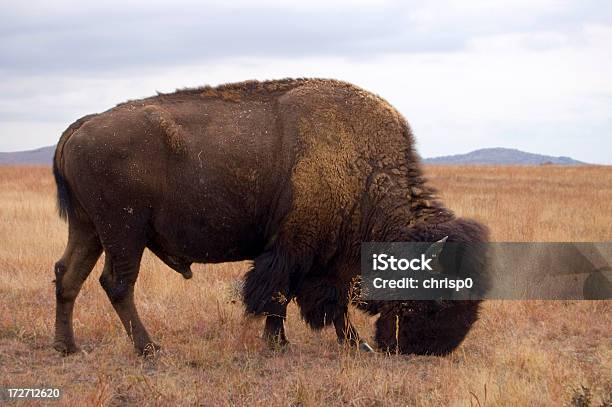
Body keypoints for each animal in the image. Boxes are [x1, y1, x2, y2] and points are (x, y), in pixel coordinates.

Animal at [52, 78, 488, 356]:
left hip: (89, 229)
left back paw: (68, 348)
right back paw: (150, 349)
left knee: (68, 275)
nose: (427, 350)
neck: (366, 173)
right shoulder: (295, 251)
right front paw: (283, 344)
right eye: (435, 300)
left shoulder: (323, 258)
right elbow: (285, 296)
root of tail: (83, 125)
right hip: (124, 232)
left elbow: (319, 302)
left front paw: (349, 343)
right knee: (117, 283)